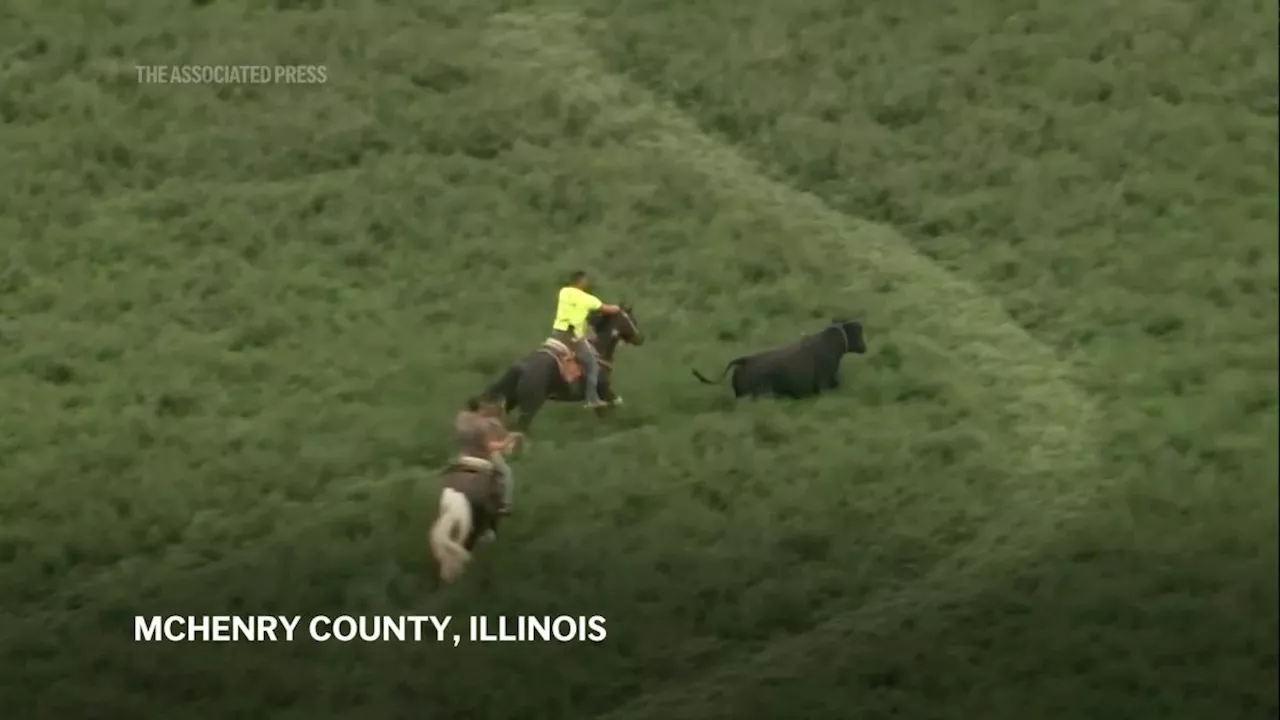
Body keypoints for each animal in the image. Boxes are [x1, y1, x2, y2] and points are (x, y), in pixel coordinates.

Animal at [481, 303, 645, 430]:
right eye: (630, 320)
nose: (640, 339)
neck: (597, 347)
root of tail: (520, 368)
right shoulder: (603, 389)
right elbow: (612, 407)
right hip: (530, 406)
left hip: (512, 402)